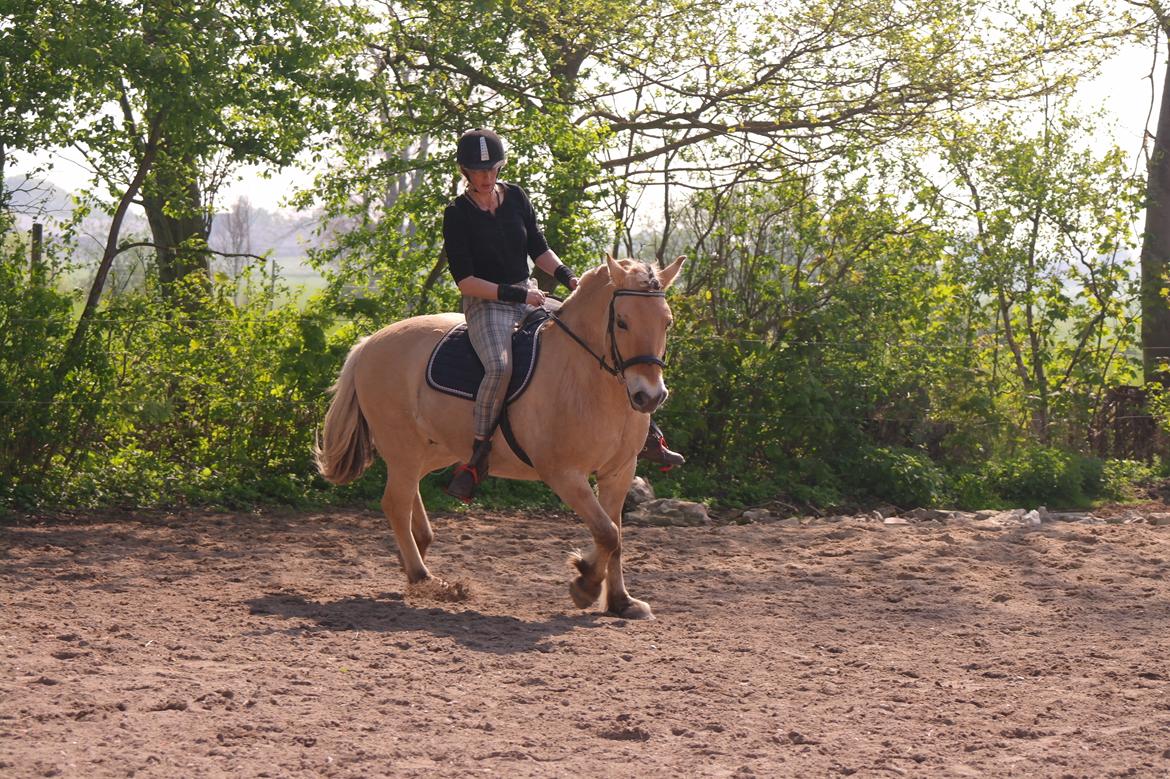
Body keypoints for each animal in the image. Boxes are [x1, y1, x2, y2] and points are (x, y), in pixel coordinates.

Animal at [315, 254, 683, 617]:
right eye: (621, 322)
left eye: (667, 322)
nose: (649, 397)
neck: (588, 379)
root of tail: (369, 344)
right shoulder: (564, 474)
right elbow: (607, 533)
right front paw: (586, 584)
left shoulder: (619, 472)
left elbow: (615, 534)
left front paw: (621, 601)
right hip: (404, 445)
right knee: (395, 502)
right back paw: (425, 578)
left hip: (435, 448)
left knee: (409, 491)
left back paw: (415, 550)